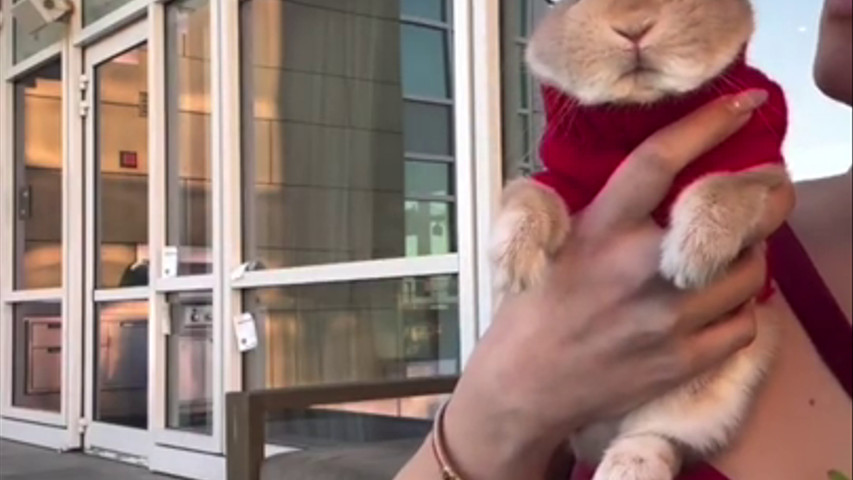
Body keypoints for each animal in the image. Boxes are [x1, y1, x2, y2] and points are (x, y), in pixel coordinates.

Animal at [490, 0, 796, 480]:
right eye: (561, 3)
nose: (633, 29)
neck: (642, 113)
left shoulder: (762, 174)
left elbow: (723, 187)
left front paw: (690, 257)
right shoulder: (565, 181)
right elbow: (531, 194)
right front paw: (513, 264)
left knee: (658, 434)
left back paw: (626, 467)